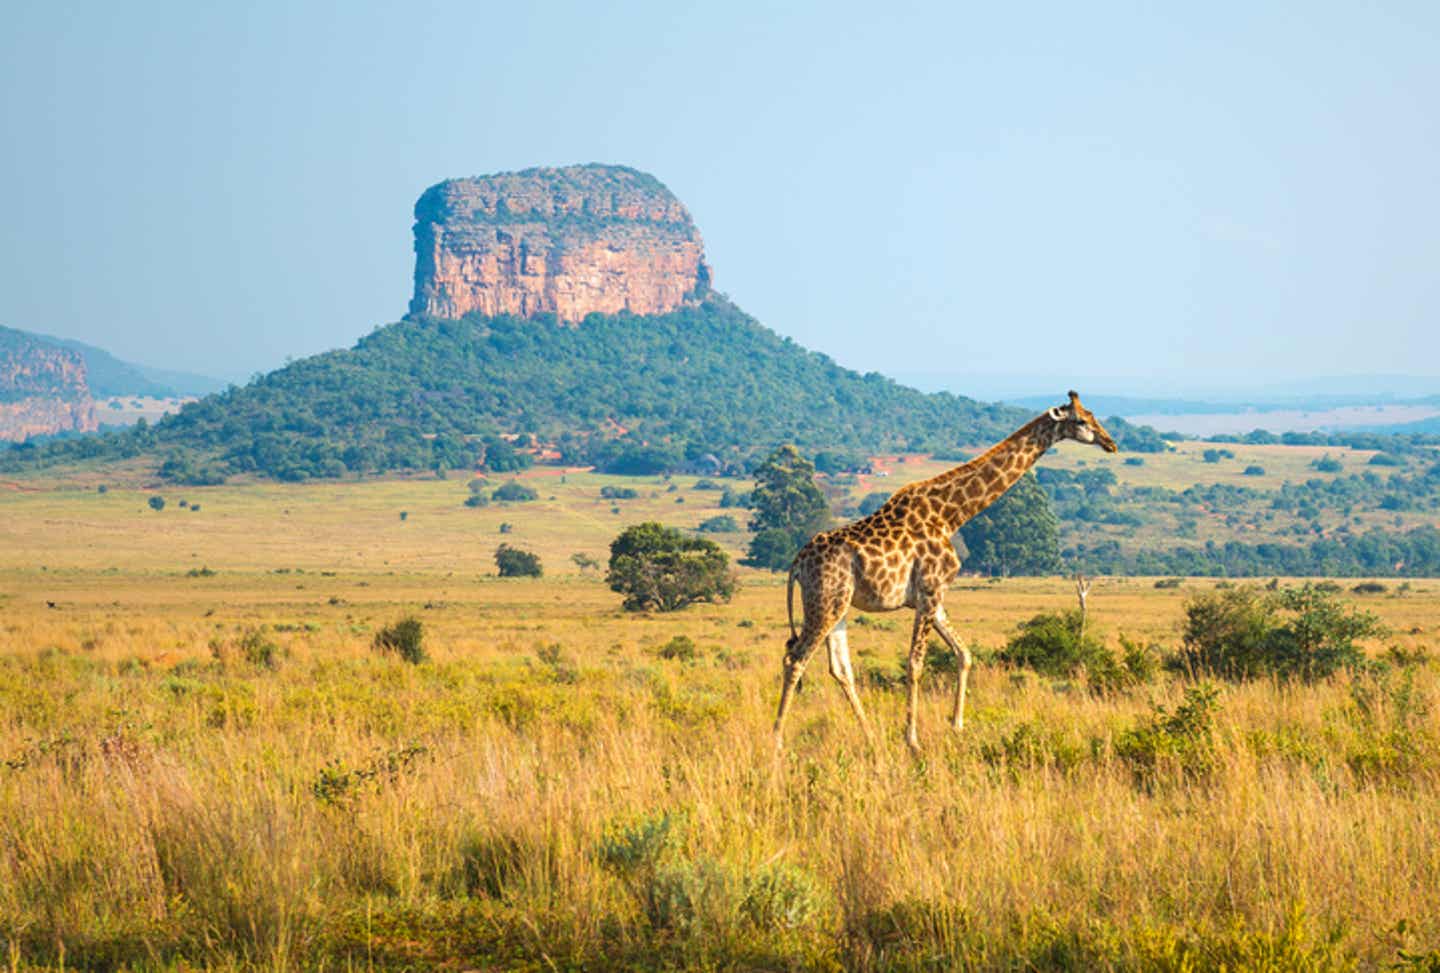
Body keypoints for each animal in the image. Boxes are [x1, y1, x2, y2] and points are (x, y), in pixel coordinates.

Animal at [771, 394, 1117, 754]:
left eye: (1093, 415)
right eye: (1081, 421)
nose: (1111, 443)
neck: (951, 515)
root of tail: (797, 562)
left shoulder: (933, 597)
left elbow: (963, 654)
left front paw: (957, 726)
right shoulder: (930, 590)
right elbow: (915, 663)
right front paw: (912, 740)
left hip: (838, 605)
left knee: (840, 669)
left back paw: (870, 737)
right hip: (825, 602)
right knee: (795, 660)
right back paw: (777, 740)